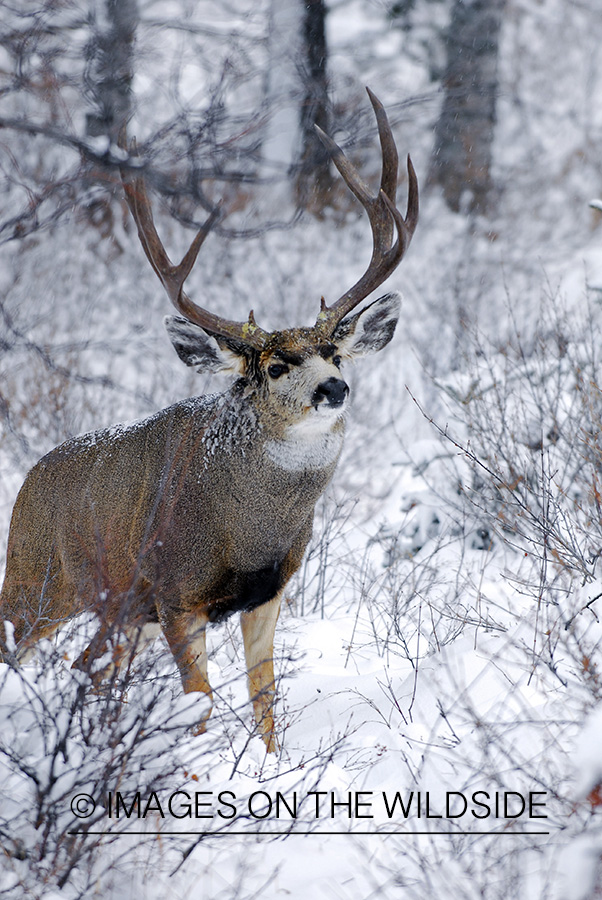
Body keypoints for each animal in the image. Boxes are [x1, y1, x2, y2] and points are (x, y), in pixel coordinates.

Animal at [0, 89, 418, 752]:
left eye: (335, 353)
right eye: (275, 365)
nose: (335, 387)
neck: (246, 528)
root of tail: (28, 478)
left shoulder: (267, 594)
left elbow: (264, 702)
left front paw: (268, 765)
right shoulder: (175, 593)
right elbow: (199, 704)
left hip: (120, 612)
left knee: (86, 667)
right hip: (36, 581)